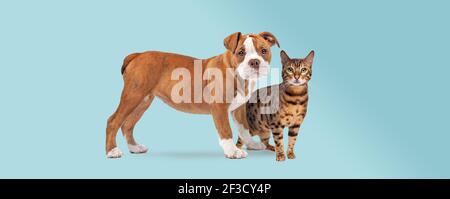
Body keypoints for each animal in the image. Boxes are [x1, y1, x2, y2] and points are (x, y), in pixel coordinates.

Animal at [107, 31, 280, 159]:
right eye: (241, 53)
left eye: (264, 51)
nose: (255, 62)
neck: (236, 73)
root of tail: (137, 55)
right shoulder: (219, 108)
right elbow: (226, 130)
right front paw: (232, 151)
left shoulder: (239, 108)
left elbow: (244, 128)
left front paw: (251, 144)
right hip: (133, 95)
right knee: (114, 121)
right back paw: (112, 151)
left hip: (143, 101)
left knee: (127, 124)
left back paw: (134, 147)